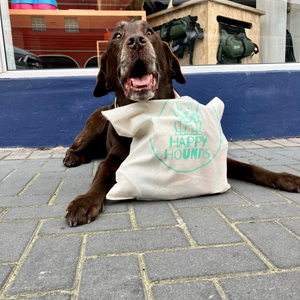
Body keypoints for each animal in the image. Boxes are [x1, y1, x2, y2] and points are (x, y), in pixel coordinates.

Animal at [63, 20, 300, 227]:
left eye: (150, 32)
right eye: (117, 36)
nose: (136, 41)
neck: (147, 112)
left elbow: (249, 167)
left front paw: (283, 178)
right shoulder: (113, 159)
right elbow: (100, 176)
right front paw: (85, 201)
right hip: (96, 123)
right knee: (76, 146)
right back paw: (73, 157)